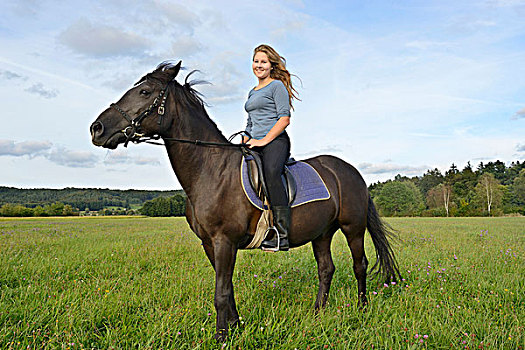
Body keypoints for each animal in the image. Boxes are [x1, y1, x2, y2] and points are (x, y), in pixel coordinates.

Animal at [91, 61, 402, 340]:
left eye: (144, 92)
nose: (97, 129)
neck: (211, 169)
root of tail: (351, 171)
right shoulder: (210, 244)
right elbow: (227, 289)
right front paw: (236, 327)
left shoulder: (224, 241)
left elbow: (220, 293)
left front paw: (221, 337)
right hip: (322, 233)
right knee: (326, 269)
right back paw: (317, 313)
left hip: (353, 228)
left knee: (359, 265)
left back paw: (362, 309)